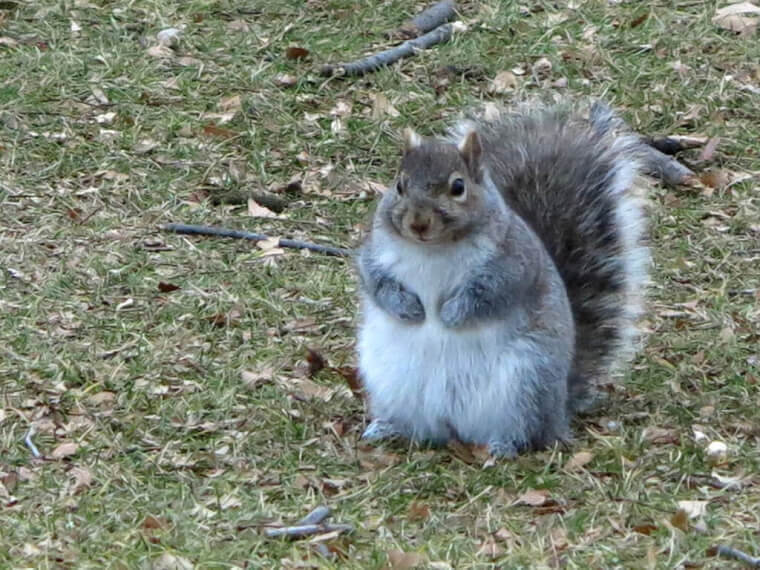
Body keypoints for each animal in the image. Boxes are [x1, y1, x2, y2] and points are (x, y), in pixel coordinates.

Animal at [356, 101, 649, 457]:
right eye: (399, 185)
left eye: (458, 187)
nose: (418, 223)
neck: (433, 249)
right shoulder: (374, 254)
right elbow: (375, 281)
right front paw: (408, 307)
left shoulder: (513, 265)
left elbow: (489, 295)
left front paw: (449, 315)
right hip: (391, 383)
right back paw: (387, 428)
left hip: (527, 382)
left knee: (528, 432)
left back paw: (503, 447)